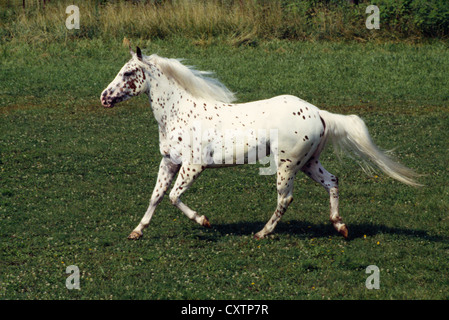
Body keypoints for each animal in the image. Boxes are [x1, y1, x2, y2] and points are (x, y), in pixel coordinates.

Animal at [100, 47, 420, 240]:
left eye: (128, 72)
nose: (104, 97)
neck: (180, 113)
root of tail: (319, 112)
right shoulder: (169, 162)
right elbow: (156, 196)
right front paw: (137, 232)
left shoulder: (193, 166)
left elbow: (173, 197)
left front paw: (204, 221)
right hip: (309, 164)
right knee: (333, 181)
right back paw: (340, 226)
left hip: (287, 165)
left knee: (285, 198)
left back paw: (262, 233)